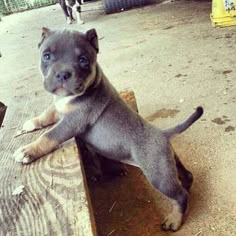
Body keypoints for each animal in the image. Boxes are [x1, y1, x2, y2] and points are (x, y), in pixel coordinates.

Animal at [13, 28, 204, 232]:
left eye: (83, 60)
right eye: (46, 56)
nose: (63, 74)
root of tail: (163, 133)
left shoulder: (72, 121)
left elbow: (50, 135)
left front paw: (28, 151)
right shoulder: (60, 109)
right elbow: (48, 113)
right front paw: (32, 122)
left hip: (158, 175)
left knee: (180, 196)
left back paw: (174, 220)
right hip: (167, 164)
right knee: (185, 176)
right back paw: (186, 185)